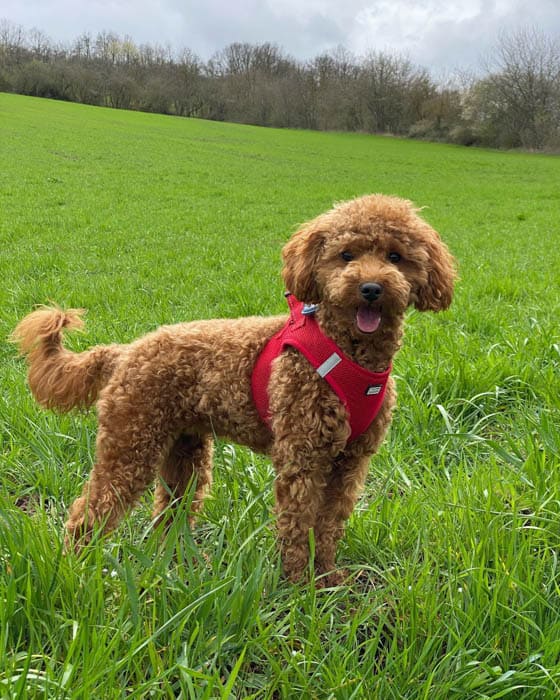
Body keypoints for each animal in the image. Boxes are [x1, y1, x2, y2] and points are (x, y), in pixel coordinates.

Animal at [10, 196, 456, 584]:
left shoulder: (350, 462)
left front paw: (329, 579)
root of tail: (125, 350)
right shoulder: (303, 458)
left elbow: (329, 526)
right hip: (129, 443)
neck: (349, 351)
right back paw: (74, 569)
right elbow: (299, 526)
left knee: (170, 512)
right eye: (346, 255)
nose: (370, 289)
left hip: (185, 452)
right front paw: (298, 585)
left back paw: (179, 564)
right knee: (91, 510)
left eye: (395, 257)